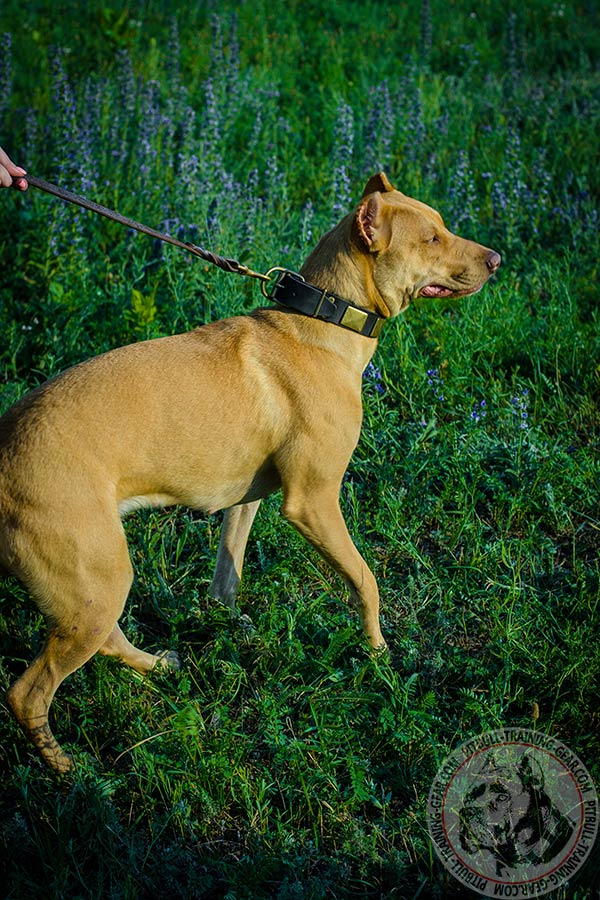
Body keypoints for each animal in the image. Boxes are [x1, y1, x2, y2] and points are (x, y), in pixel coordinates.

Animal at [0, 176, 500, 772]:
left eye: (443, 226)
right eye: (431, 238)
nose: (496, 259)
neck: (320, 321)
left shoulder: (246, 500)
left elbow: (227, 575)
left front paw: (228, 630)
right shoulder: (313, 501)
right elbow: (366, 579)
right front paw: (377, 650)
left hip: (95, 587)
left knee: (104, 642)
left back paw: (159, 667)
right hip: (95, 579)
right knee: (27, 692)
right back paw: (65, 769)